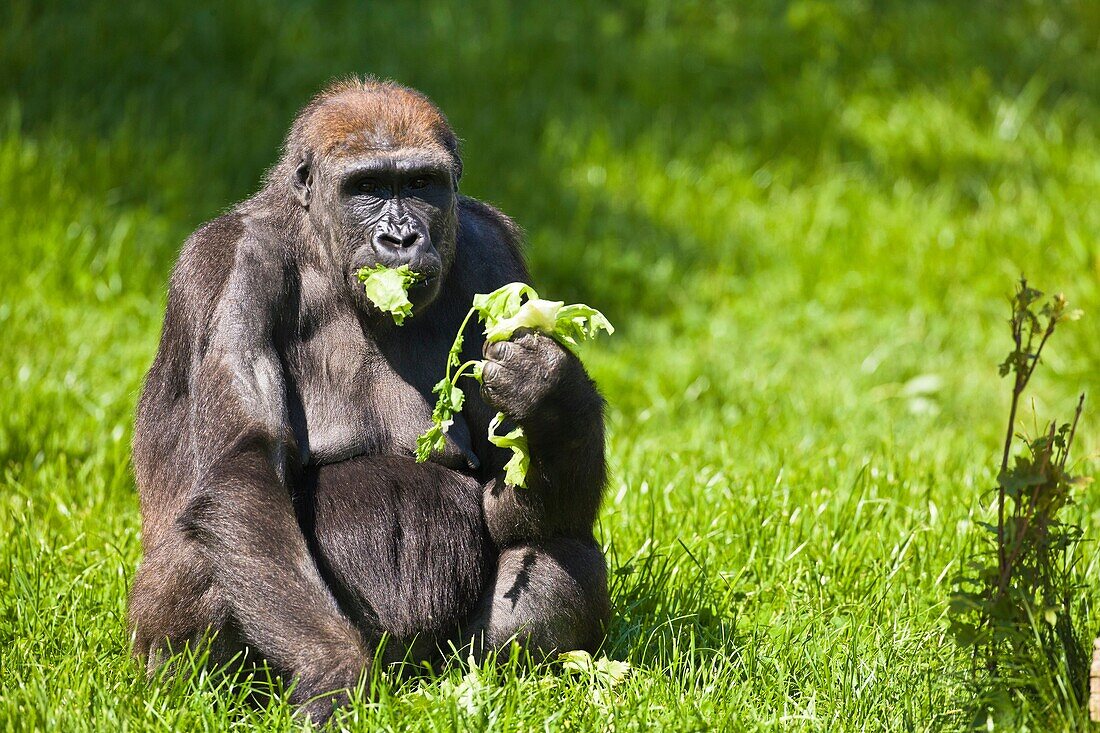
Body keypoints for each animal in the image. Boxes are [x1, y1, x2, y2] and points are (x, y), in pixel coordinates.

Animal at [130, 77, 611, 717]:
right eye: (367, 188)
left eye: (420, 184)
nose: (400, 237)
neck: (318, 242)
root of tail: (410, 675)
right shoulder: (236, 265)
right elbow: (244, 466)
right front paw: (334, 672)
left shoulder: (492, 250)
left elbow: (510, 498)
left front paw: (550, 391)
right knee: (204, 550)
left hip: (442, 663)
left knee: (561, 552)